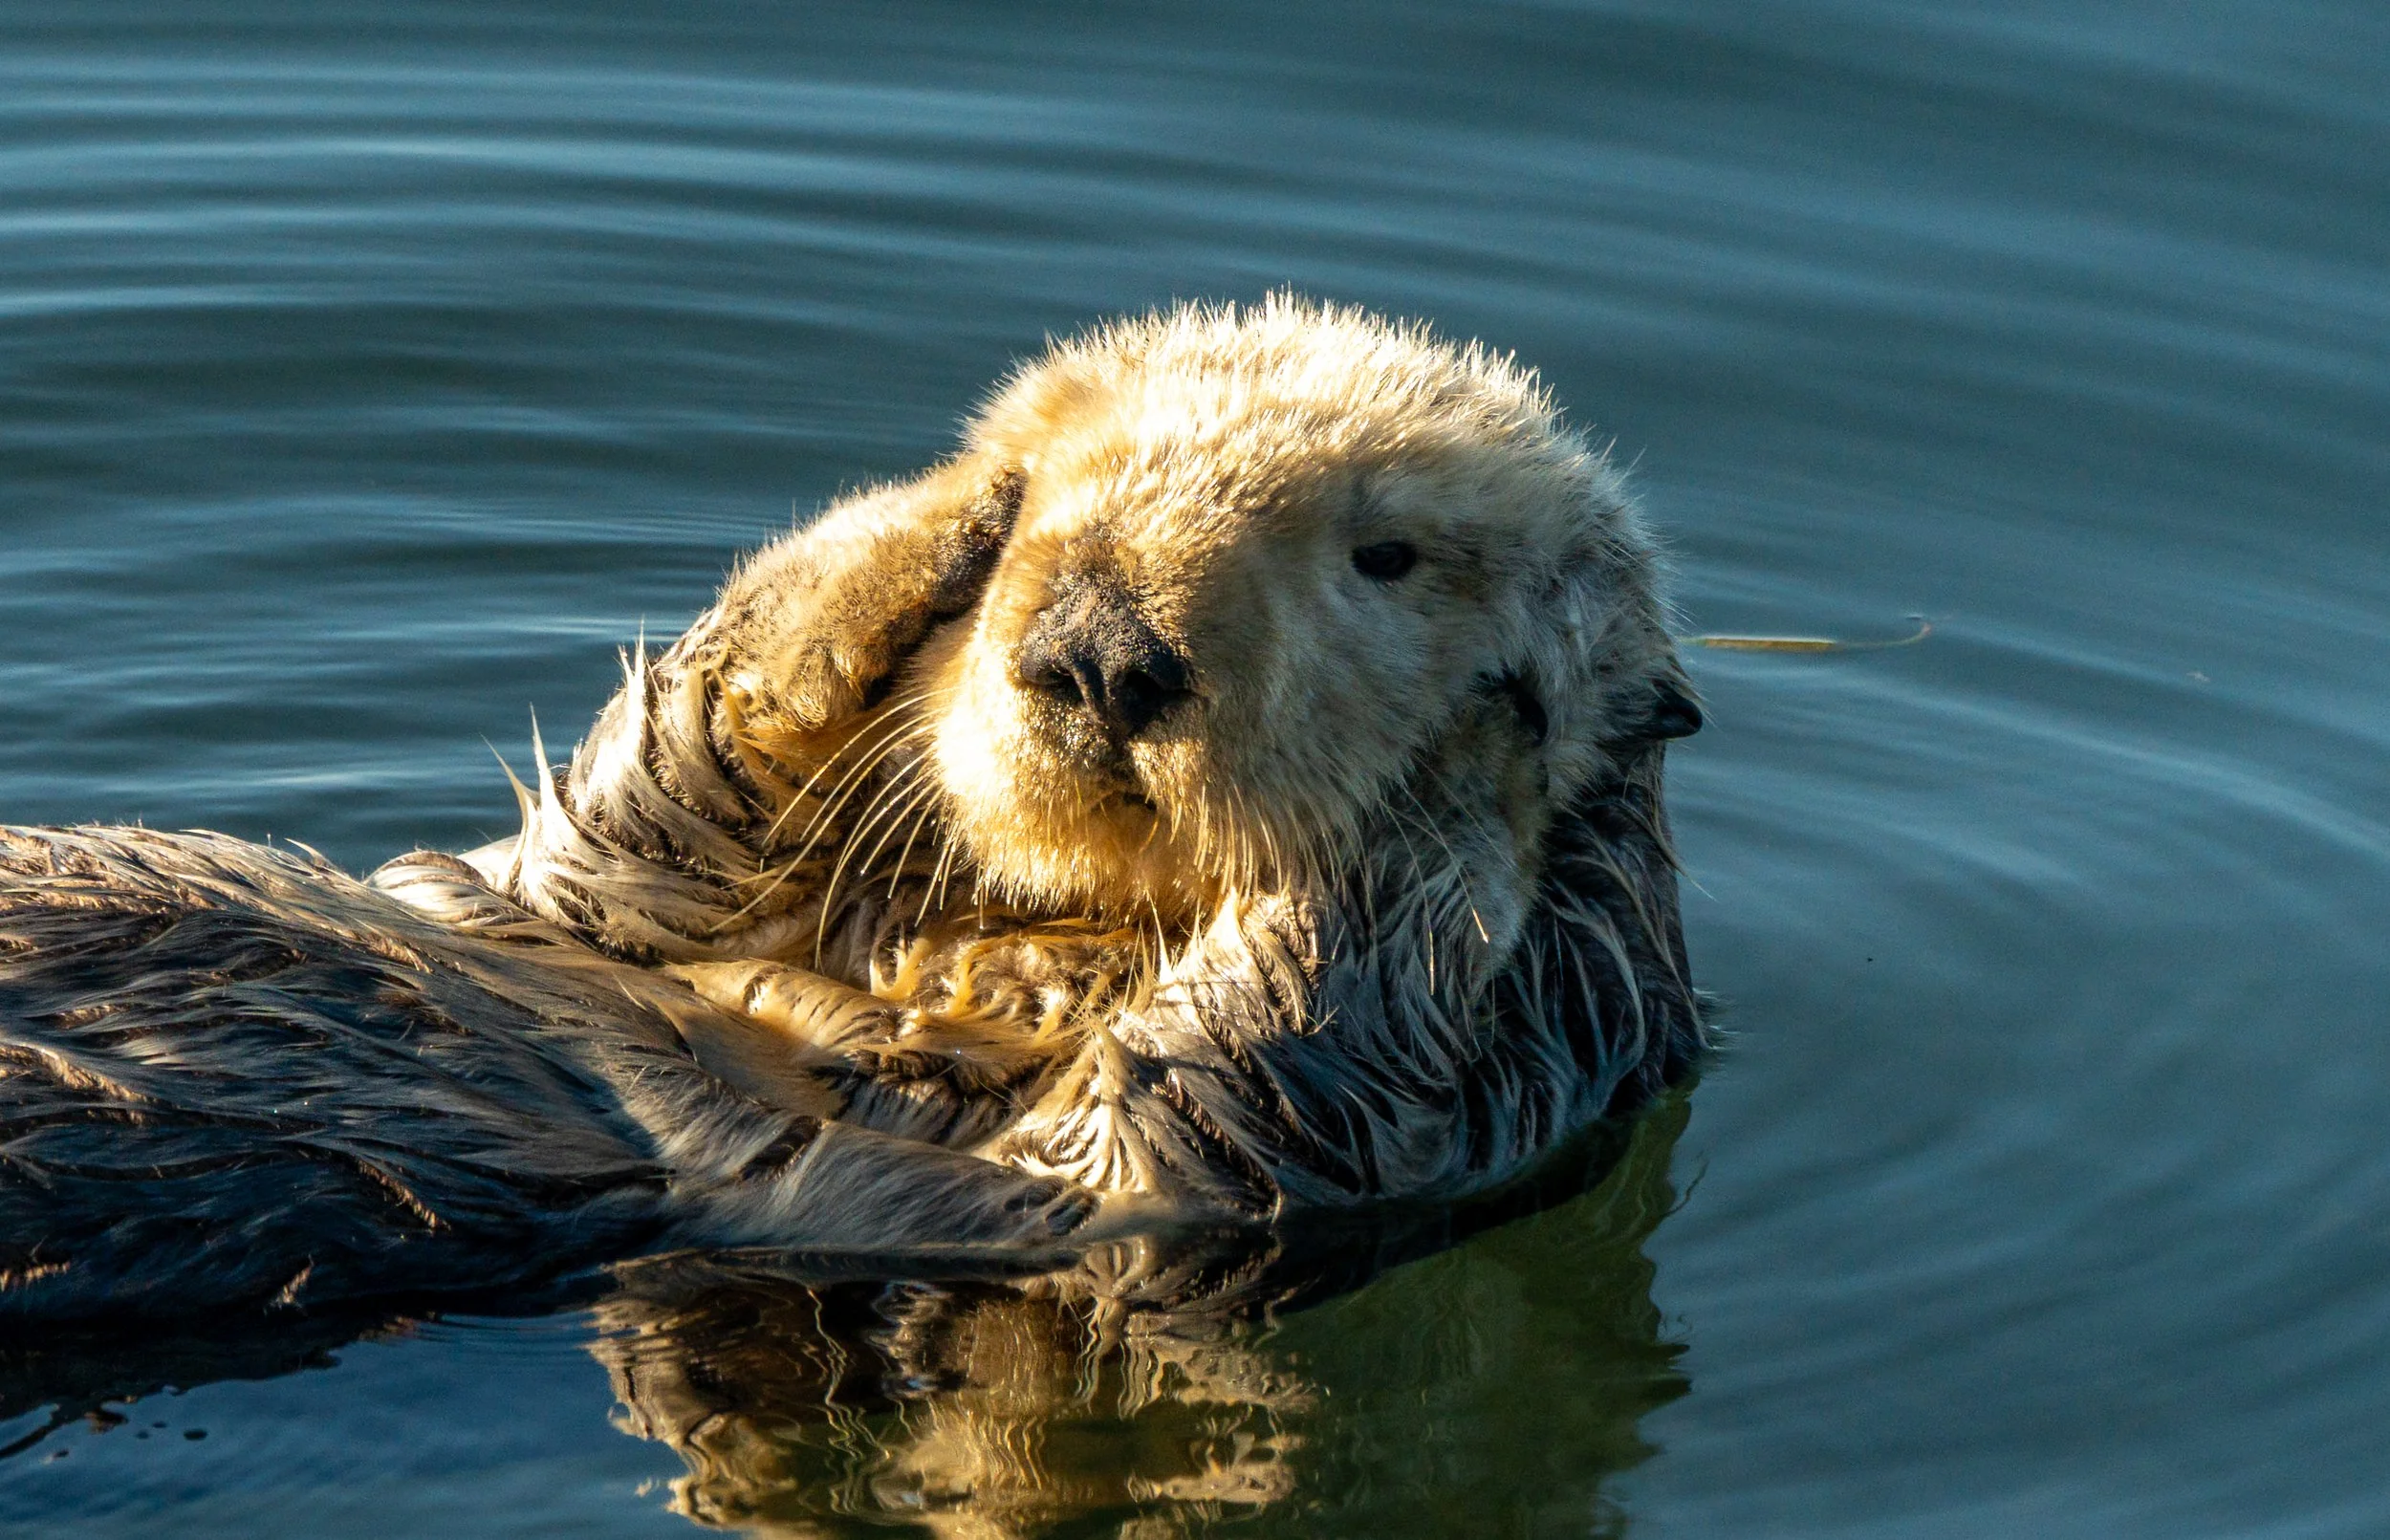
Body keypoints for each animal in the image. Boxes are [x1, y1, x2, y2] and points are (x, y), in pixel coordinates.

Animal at [0, 298, 1702, 1320]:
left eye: (1390, 556)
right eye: (1068, 489)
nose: (1098, 648)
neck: (1032, 945)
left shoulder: (1267, 1168)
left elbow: (1233, 1065)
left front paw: (1485, 746)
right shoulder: (601, 906)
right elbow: (649, 807)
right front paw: (950, 503)